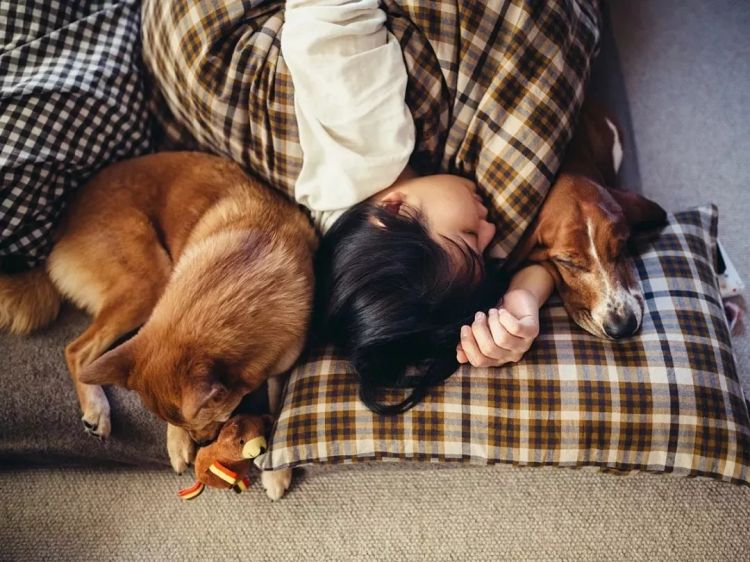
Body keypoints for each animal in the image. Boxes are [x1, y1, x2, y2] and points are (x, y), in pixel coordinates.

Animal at [0, 150, 318, 498]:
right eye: (214, 418)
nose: (204, 442)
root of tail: (59, 230)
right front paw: (176, 443)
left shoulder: (283, 366)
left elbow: (281, 412)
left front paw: (277, 471)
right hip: (149, 281)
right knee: (75, 349)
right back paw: (97, 408)